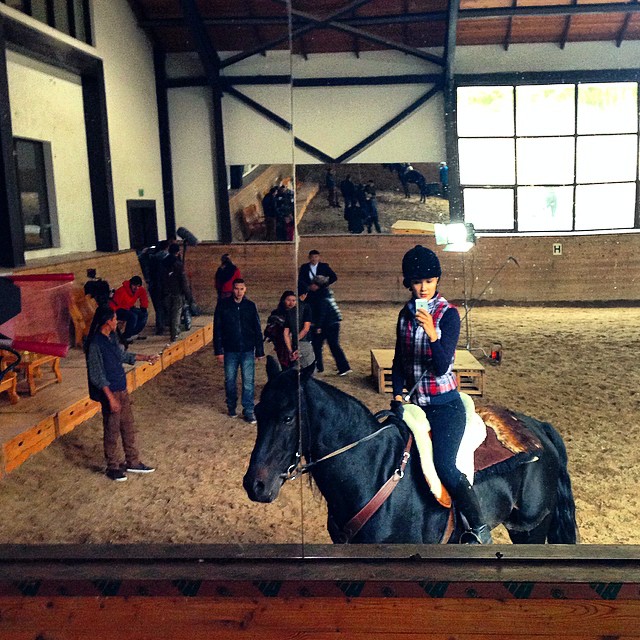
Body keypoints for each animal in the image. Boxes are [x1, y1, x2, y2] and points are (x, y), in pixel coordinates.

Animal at [243, 359, 579, 544]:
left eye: (288, 417)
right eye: (258, 411)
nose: (254, 485)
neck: (373, 475)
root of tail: (537, 428)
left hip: (530, 529)